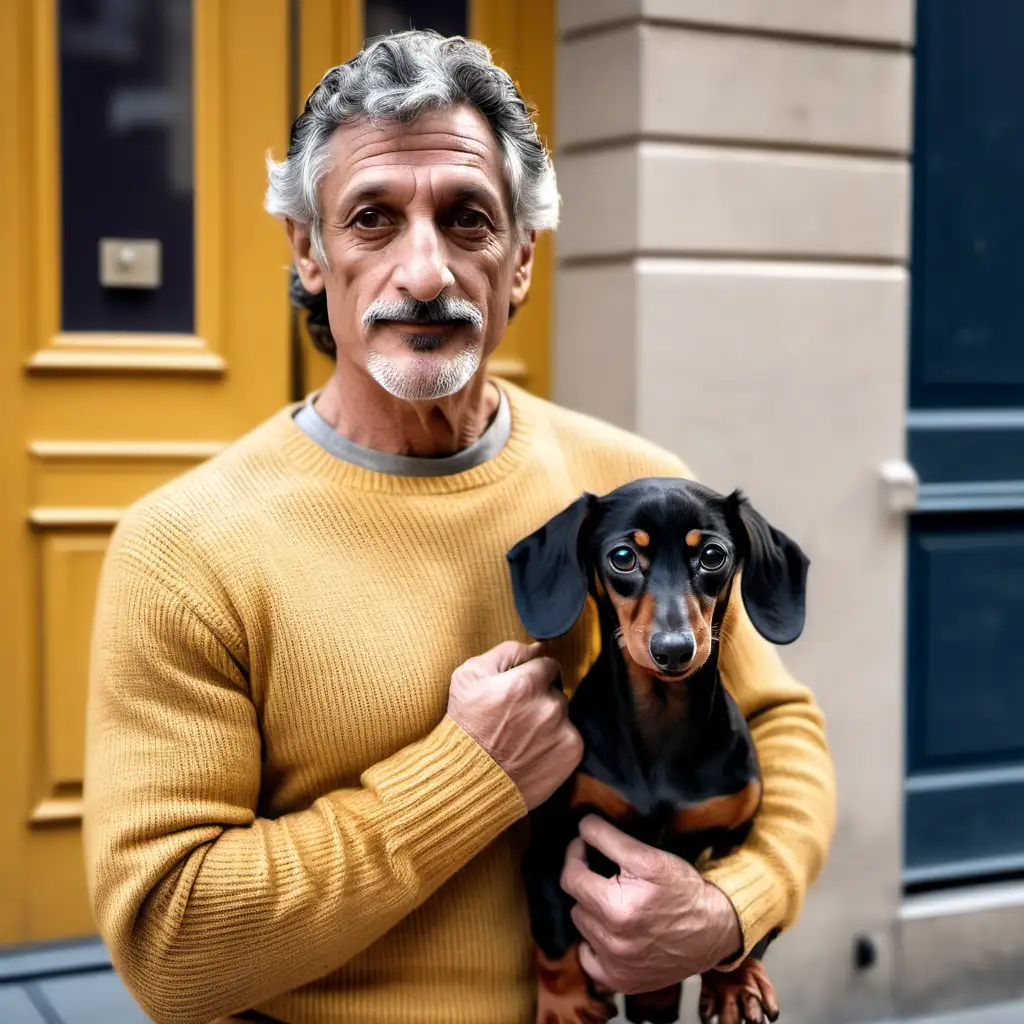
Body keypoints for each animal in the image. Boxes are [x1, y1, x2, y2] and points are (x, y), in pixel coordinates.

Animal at [503, 477, 806, 1024]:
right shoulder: (549, 847)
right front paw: (564, 1005)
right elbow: (554, 941)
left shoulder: (735, 836)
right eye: (623, 557)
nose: (674, 650)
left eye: (713, 555)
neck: (664, 720)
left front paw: (735, 984)